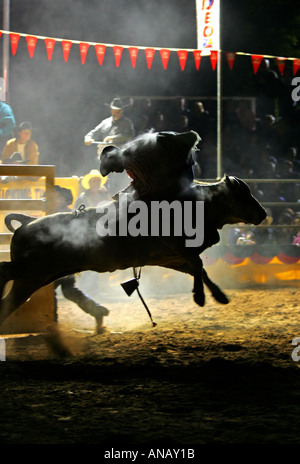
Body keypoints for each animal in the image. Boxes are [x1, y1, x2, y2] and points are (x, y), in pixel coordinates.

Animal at [0, 175, 266, 326]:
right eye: (244, 194)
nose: (263, 214)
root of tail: (27, 222)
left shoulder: (171, 258)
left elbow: (199, 270)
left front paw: (219, 295)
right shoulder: (176, 245)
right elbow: (199, 265)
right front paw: (200, 297)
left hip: (35, 278)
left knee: (8, 300)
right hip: (31, 272)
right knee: (5, 272)